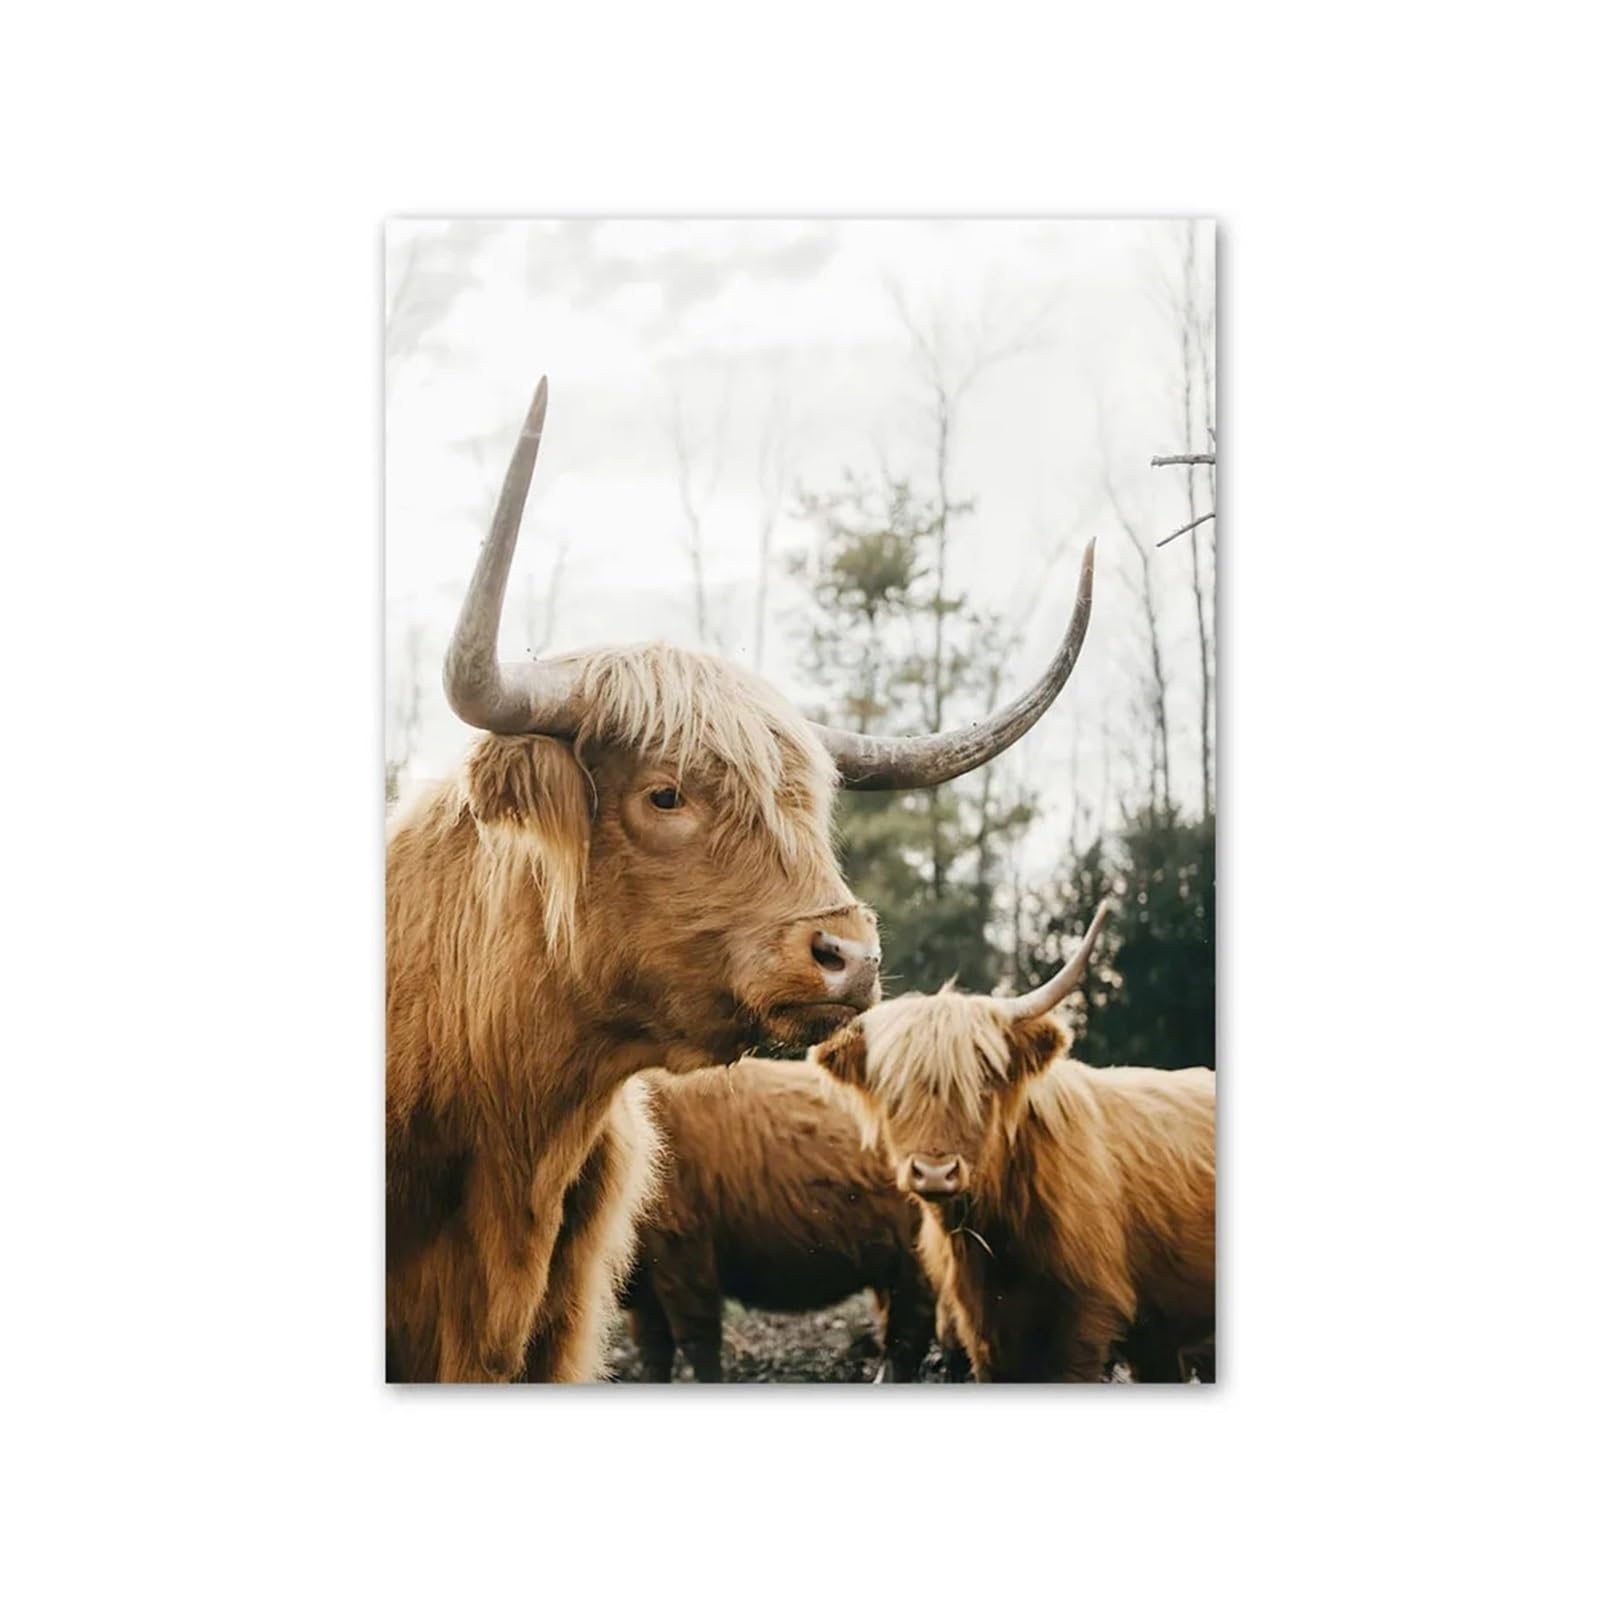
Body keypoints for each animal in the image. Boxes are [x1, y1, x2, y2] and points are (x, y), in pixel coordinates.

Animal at [621, 1059, 939, 1382]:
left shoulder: (684, 1254)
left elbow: (698, 1345)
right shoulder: (647, 1286)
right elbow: (653, 1350)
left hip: (916, 1259)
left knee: (908, 1336)